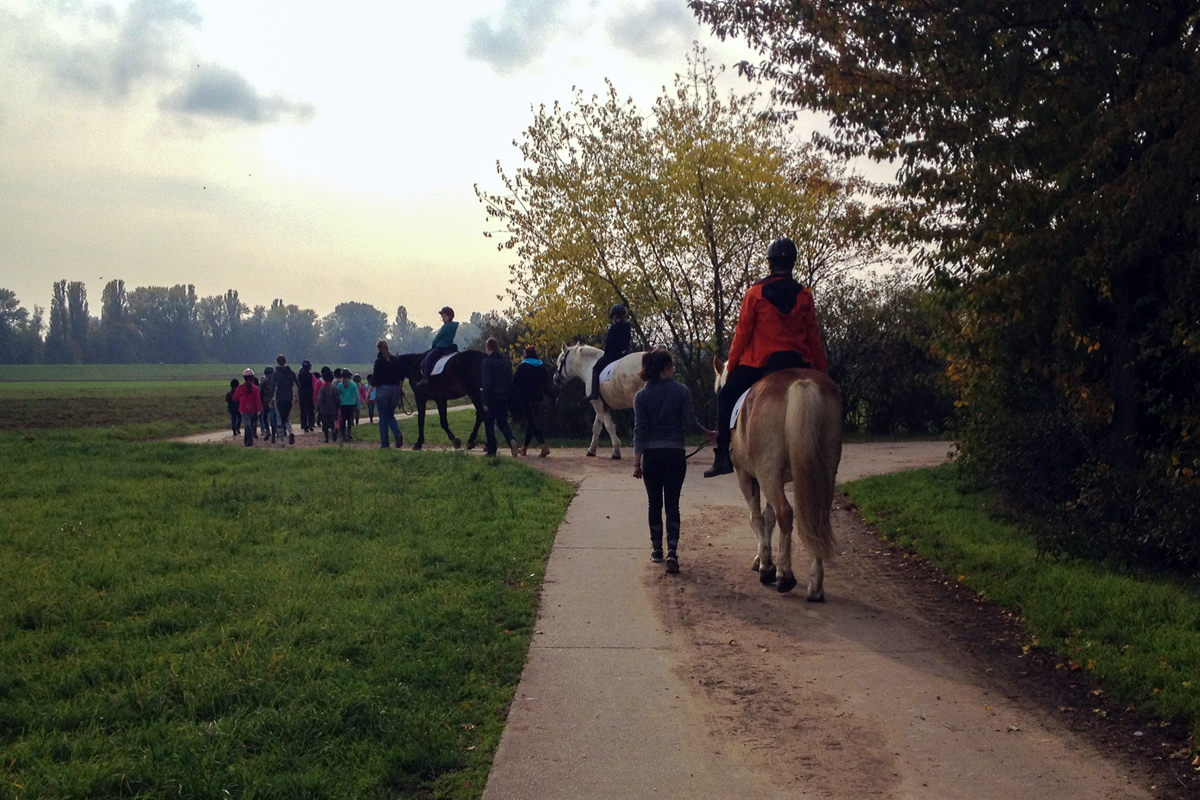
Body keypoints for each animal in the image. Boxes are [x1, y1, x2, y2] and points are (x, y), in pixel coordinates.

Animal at [715, 357, 840, 599]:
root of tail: (801, 382)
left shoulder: (747, 476)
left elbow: (757, 518)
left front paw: (766, 565)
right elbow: (768, 517)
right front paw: (763, 559)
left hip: (767, 473)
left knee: (785, 513)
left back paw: (784, 575)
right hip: (825, 472)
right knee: (816, 518)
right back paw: (815, 586)